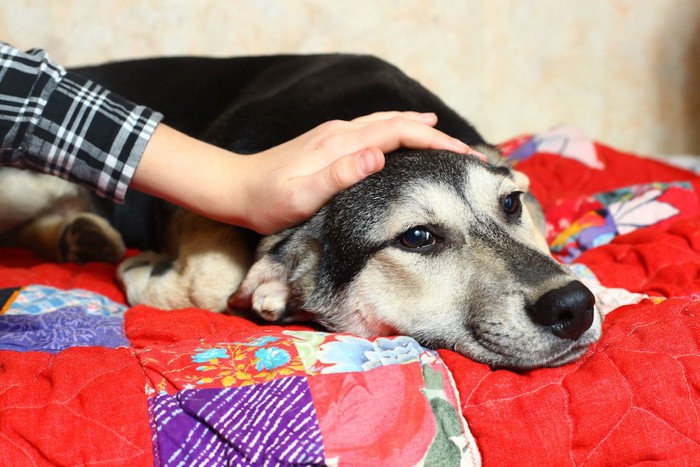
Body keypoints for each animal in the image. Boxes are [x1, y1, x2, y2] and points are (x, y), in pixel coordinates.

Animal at [0, 54, 600, 370]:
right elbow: (212, 283)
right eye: (418, 238)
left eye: (511, 203)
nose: (573, 307)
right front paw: (140, 271)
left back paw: (82, 236)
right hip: (25, 180)